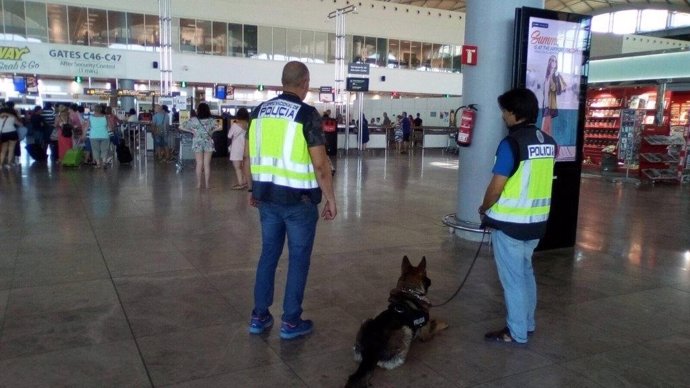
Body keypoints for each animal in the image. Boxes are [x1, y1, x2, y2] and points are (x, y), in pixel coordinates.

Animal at [344, 256, 446, 386]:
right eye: (427, 274)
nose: (431, 280)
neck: (410, 290)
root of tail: (371, 351)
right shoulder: (426, 334)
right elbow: (435, 324)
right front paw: (443, 324)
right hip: (406, 330)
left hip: (367, 320)